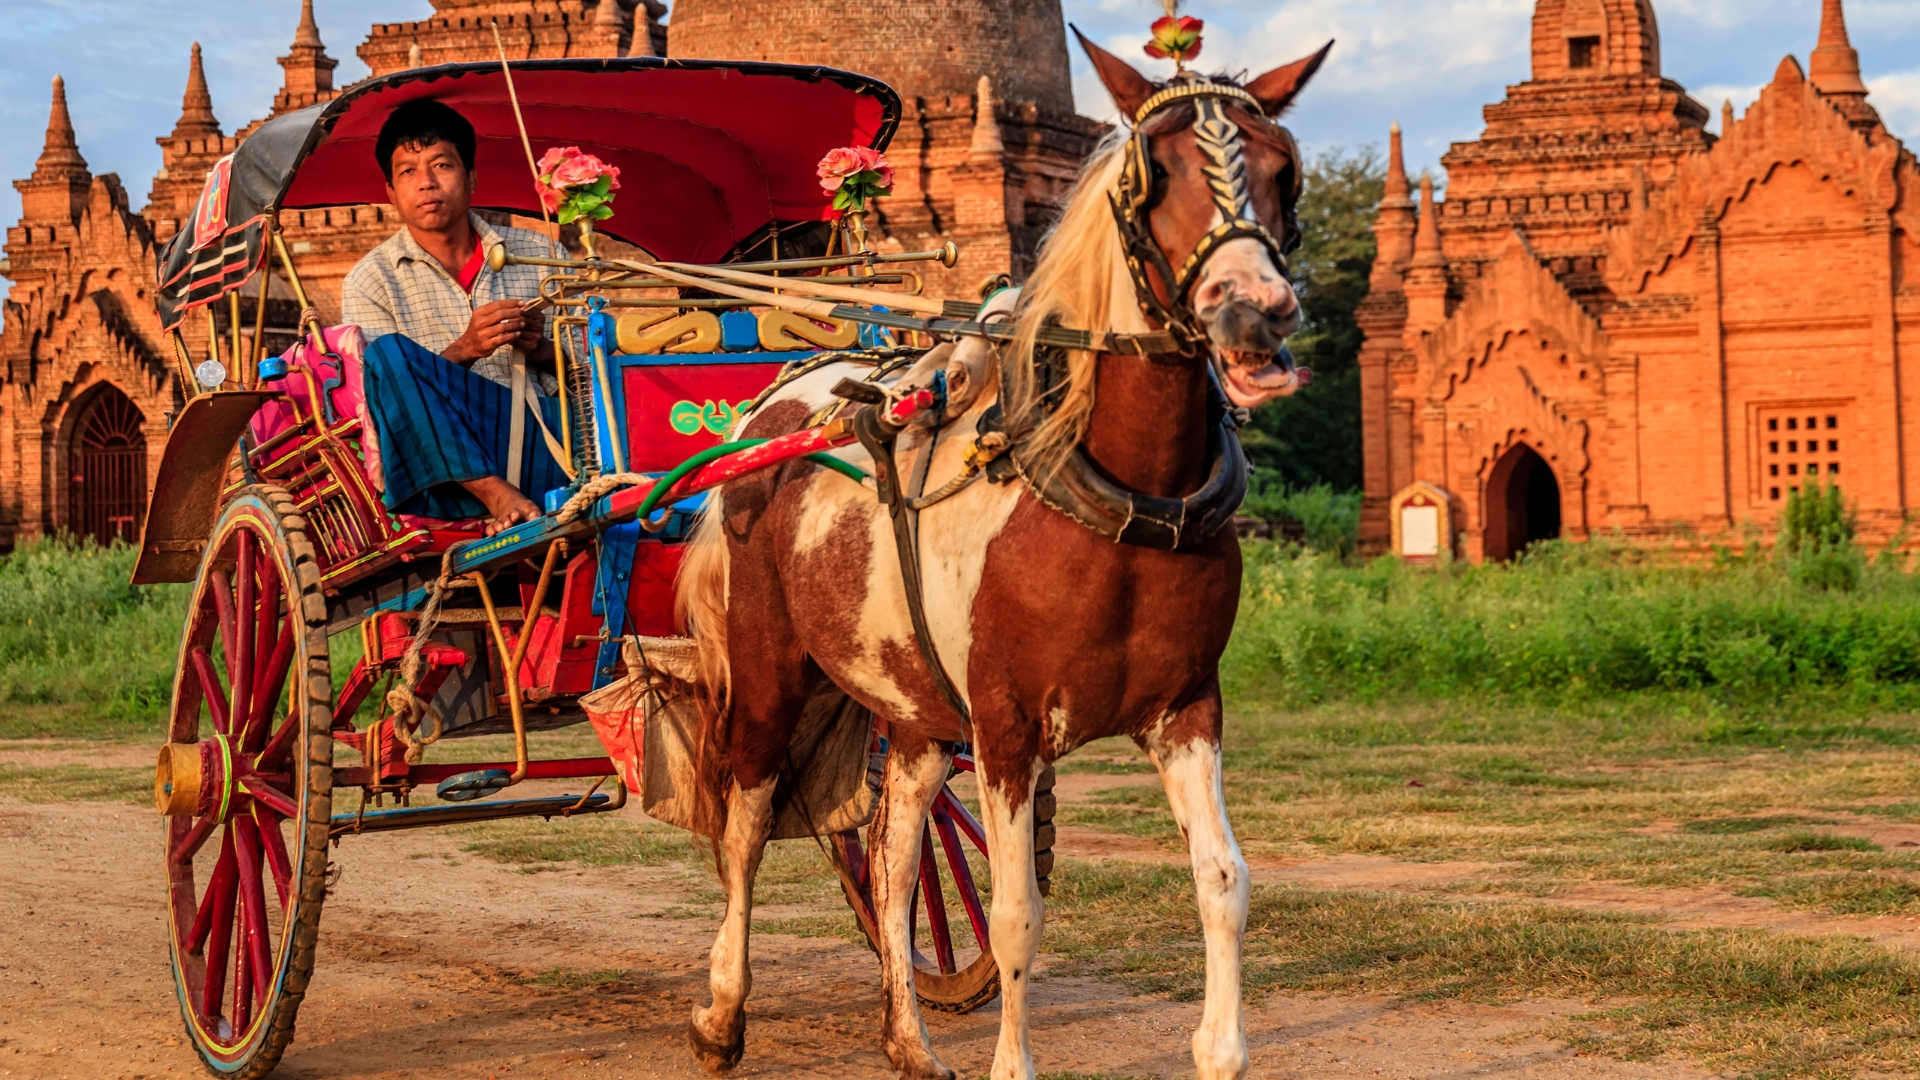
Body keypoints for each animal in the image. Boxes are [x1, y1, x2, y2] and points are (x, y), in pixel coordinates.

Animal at [675, 32, 1331, 1080]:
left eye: (1283, 170)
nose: (1254, 316)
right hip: (769, 666)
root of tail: (770, 406)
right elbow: (1018, 912)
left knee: (895, 851)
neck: (1110, 491)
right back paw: (724, 1011)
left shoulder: (1189, 709)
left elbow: (1224, 880)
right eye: (1155, 177)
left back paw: (908, 1038)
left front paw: (1221, 1048)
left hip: (909, 707)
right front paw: (1012, 1058)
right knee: (745, 816)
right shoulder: (1005, 724)